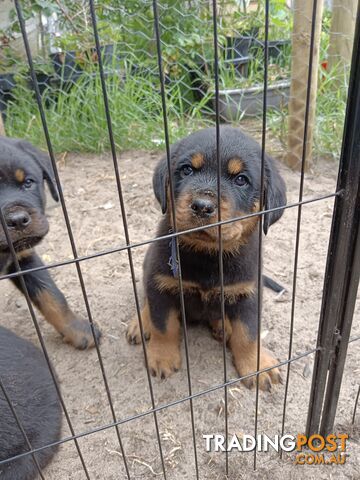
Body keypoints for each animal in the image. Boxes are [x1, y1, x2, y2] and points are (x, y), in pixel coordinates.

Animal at [126, 126, 286, 390]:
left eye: (240, 179)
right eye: (187, 170)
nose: (202, 206)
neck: (208, 255)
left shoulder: (249, 292)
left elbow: (248, 333)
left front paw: (257, 364)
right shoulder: (160, 283)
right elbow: (163, 325)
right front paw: (162, 356)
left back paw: (223, 326)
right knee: (147, 302)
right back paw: (140, 324)